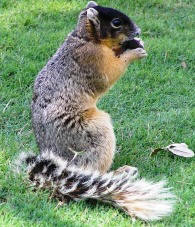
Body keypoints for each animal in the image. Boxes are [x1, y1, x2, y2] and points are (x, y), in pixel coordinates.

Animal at [16, 1, 175, 222]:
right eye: (116, 22)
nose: (138, 31)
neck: (86, 38)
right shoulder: (92, 58)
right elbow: (110, 72)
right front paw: (134, 52)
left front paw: (135, 43)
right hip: (93, 133)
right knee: (93, 167)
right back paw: (120, 173)